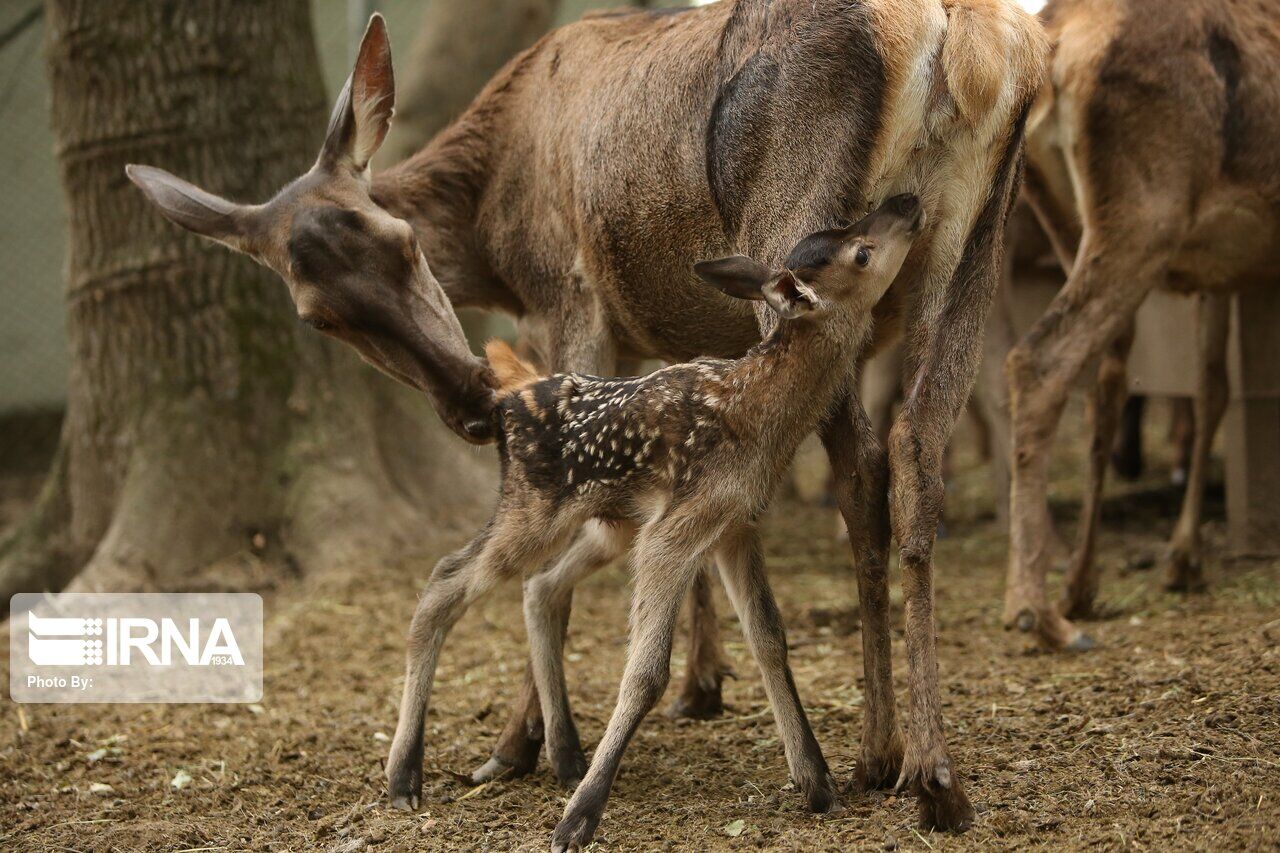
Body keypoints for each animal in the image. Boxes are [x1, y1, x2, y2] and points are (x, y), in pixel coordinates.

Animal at [129, 0, 1044, 829]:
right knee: (915, 447)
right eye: (319, 316)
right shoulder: (654, 340)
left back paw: (882, 752)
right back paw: (933, 773)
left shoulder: (566, 293)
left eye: (405, 243)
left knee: (859, 465)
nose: (468, 403)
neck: (490, 228)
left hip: (796, 218)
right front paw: (699, 685)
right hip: (977, 242)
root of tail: (965, 40)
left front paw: (524, 742)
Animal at [1003, 0, 1274, 645]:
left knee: (1103, 380)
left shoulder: (1216, 269)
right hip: (1145, 214)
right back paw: (1035, 607)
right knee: (1040, 360)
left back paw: (1079, 583)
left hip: (1068, 220)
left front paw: (1185, 558)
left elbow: (1211, 388)